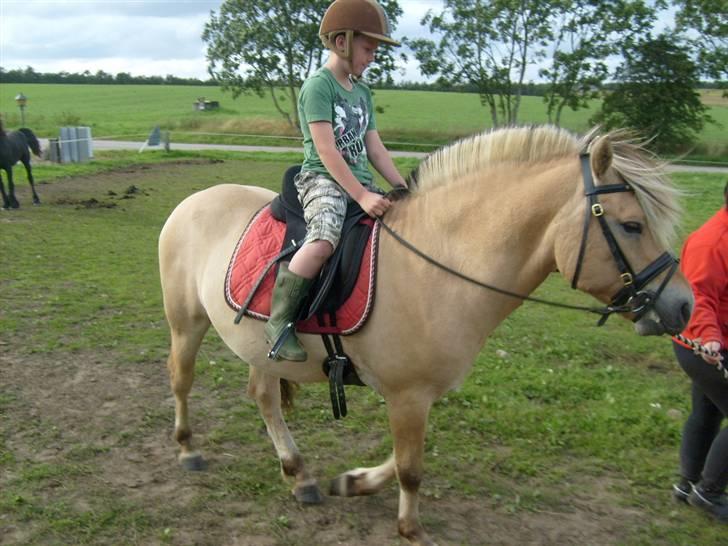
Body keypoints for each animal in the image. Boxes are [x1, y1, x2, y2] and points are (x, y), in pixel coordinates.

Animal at [159, 125, 692, 540]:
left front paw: (353, 482)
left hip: (260, 348)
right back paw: (188, 449)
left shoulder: (419, 393)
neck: (441, 261)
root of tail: (193, 200)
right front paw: (410, 529)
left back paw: (299, 475)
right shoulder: (408, 394)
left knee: (265, 398)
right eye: (631, 226)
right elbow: (411, 468)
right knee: (181, 379)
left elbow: (401, 459)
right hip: (186, 323)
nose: (682, 305)